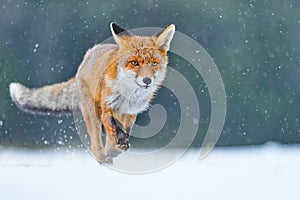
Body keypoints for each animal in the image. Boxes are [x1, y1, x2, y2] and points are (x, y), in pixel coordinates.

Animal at [8, 23, 176, 164]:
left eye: (154, 63)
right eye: (134, 63)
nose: (147, 80)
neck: (128, 95)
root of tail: (85, 60)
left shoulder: (130, 112)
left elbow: (124, 131)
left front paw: (118, 146)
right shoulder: (108, 108)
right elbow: (115, 128)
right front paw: (119, 143)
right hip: (92, 113)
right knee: (96, 142)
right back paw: (102, 157)